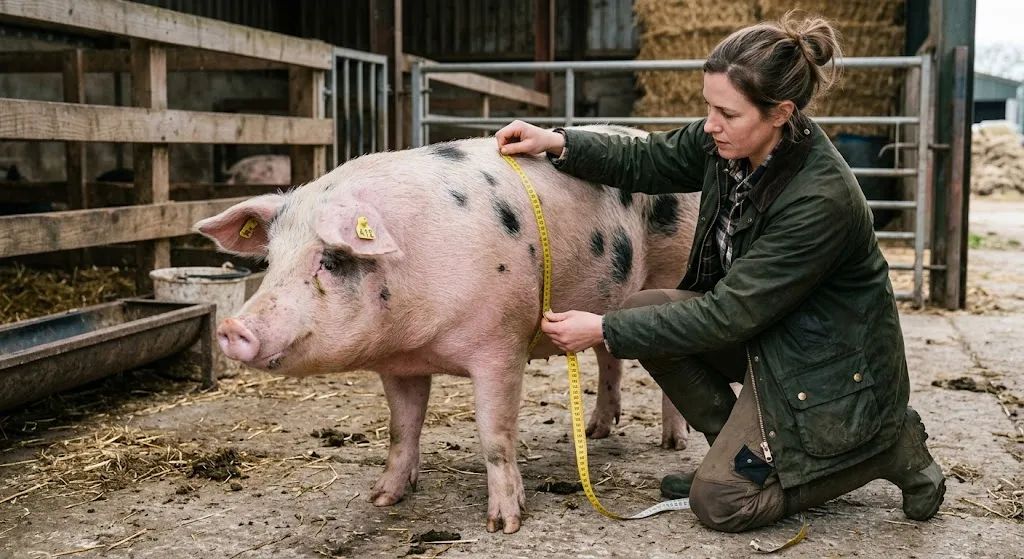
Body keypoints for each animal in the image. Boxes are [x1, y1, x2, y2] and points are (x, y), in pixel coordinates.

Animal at [193, 125, 700, 534]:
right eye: (271, 259)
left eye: (331, 260)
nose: (234, 328)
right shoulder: (399, 365)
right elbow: (402, 429)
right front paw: (382, 498)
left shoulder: (501, 343)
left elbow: (495, 434)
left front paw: (504, 525)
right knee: (607, 355)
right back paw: (595, 432)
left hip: (672, 273)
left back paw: (673, 443)